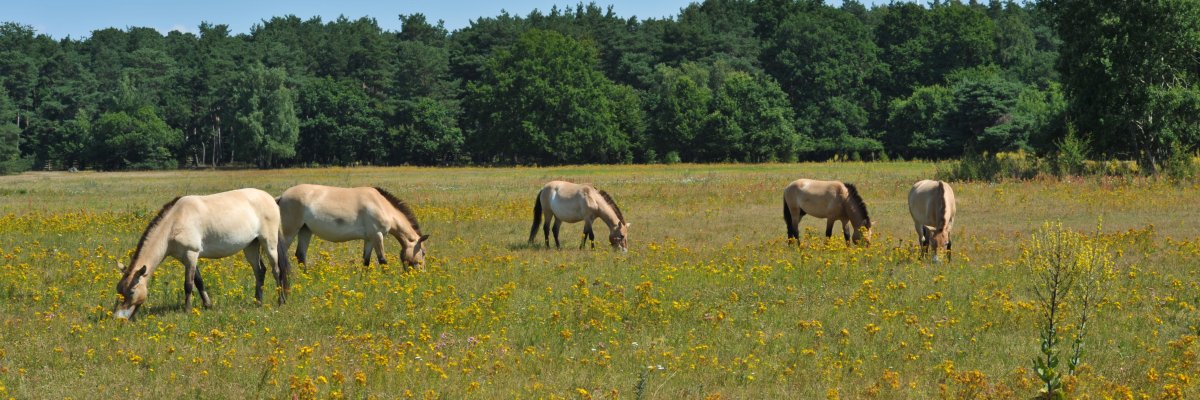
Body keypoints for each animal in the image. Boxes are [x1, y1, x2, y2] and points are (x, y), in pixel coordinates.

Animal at [114, 188, 288, 319]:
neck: (174, 222)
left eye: (131, 291)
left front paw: (187, 310)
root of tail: (271, 199)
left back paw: (281, 301)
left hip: (269, 242)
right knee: (260, 271)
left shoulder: (191, 254)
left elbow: (188, 284)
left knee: (276, 271)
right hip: (251, 245)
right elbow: (199, 281)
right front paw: (207, 305)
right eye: (118, 290)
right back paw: (258, 302)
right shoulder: (187, 258)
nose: (117, 318)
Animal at [277, 183, 432, 271]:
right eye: (423, 252)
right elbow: (383, 261)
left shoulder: (369, 239)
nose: (422, 272)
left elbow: (366, 262)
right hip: (290, 232)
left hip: (305, 231)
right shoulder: (377, 236)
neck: (381, 205)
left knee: (300, 256)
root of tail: (282, 197)